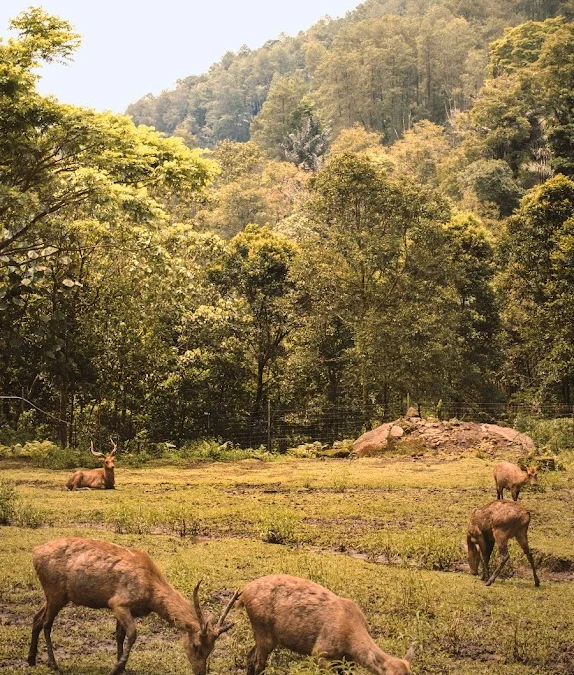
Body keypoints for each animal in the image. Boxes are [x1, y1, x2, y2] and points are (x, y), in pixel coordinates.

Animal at [26, 540, 238, 675]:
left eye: (212, 648)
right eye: (196, 646)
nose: (200, 672)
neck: (151, 595)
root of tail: (35, 552)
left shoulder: (127, 609)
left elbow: (120, 635)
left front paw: (121, 665)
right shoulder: (118, 602)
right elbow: (132, 634)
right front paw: (116, 668)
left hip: (54, 595)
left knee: (36, 618)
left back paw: (31, 659)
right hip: (55, 591)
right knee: (46, 623)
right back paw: (54, 665)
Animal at [238, 576, 414, 675]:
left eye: (411, 674)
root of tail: (244, 592)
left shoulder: (347, 660)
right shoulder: (319, 652)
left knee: (250, 656)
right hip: (262, 628)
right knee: (258, 664)